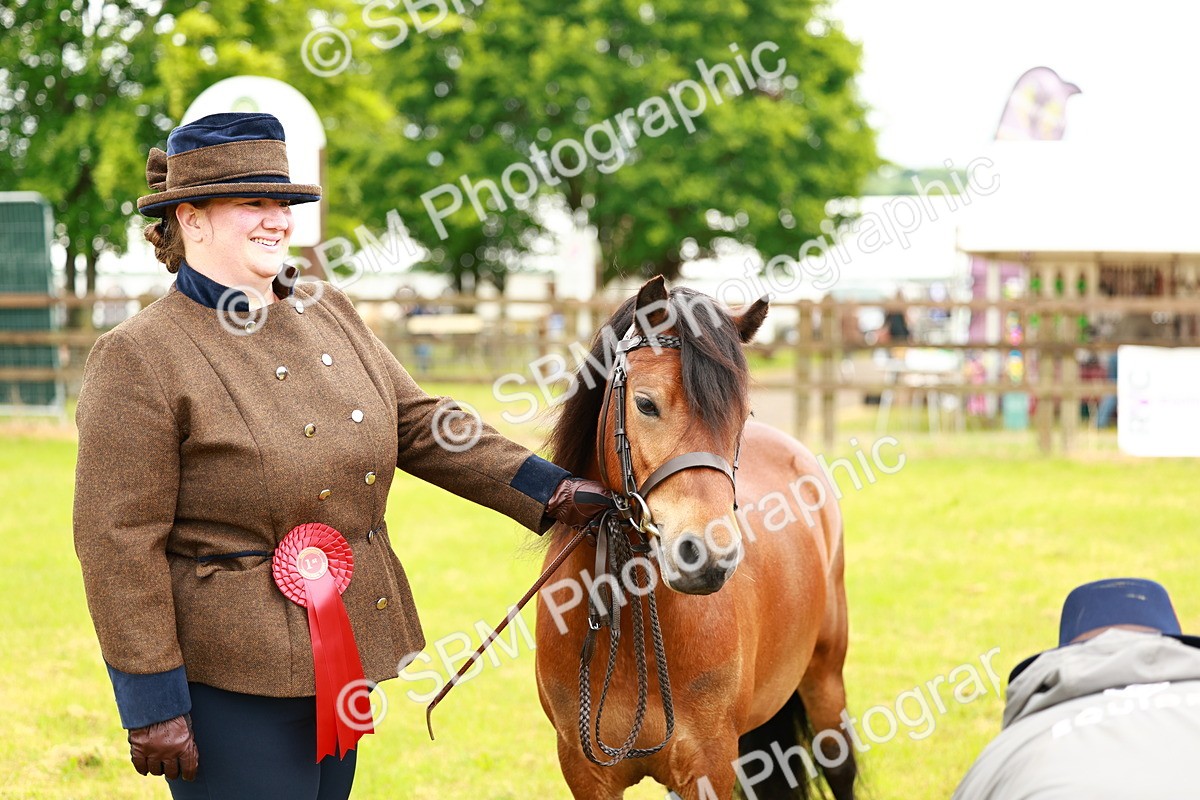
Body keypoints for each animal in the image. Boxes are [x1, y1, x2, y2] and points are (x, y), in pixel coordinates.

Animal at [534, 276, 856, 800]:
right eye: (645, 404)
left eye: (741, 416)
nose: (706, 558)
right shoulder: (584, 769)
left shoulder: (709, 764)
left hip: (825, 677)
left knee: (839, 764)